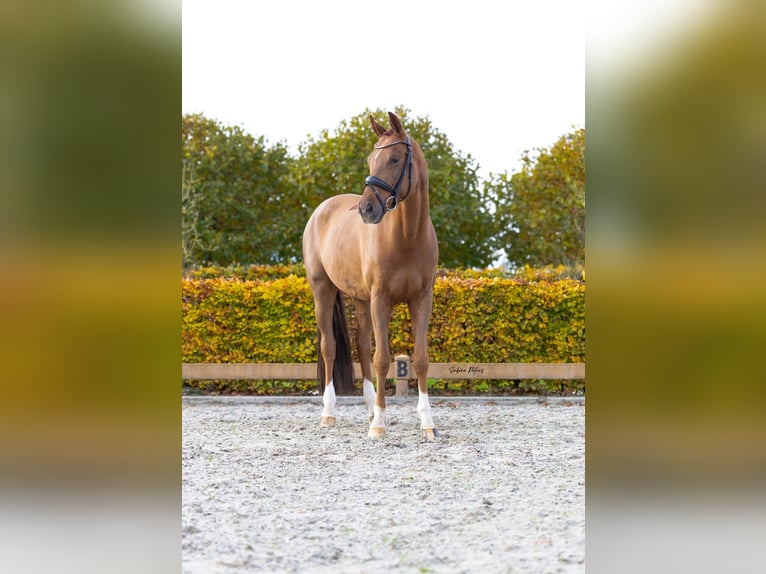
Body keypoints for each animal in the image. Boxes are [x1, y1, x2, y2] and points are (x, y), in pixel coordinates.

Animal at [302, 112, 439, 440]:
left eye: (394, 158)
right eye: (370, 159)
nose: (366, 209)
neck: (407, 237)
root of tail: (322, 209)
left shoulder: (421, 300)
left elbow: (420, 358)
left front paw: (427, 422)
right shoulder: (381, 300)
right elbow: (382, 359)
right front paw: (379, 424)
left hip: (361, 299)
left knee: (362, 345)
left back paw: (367, 407)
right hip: (323, 291)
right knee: (330, 347)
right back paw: (330, 413)